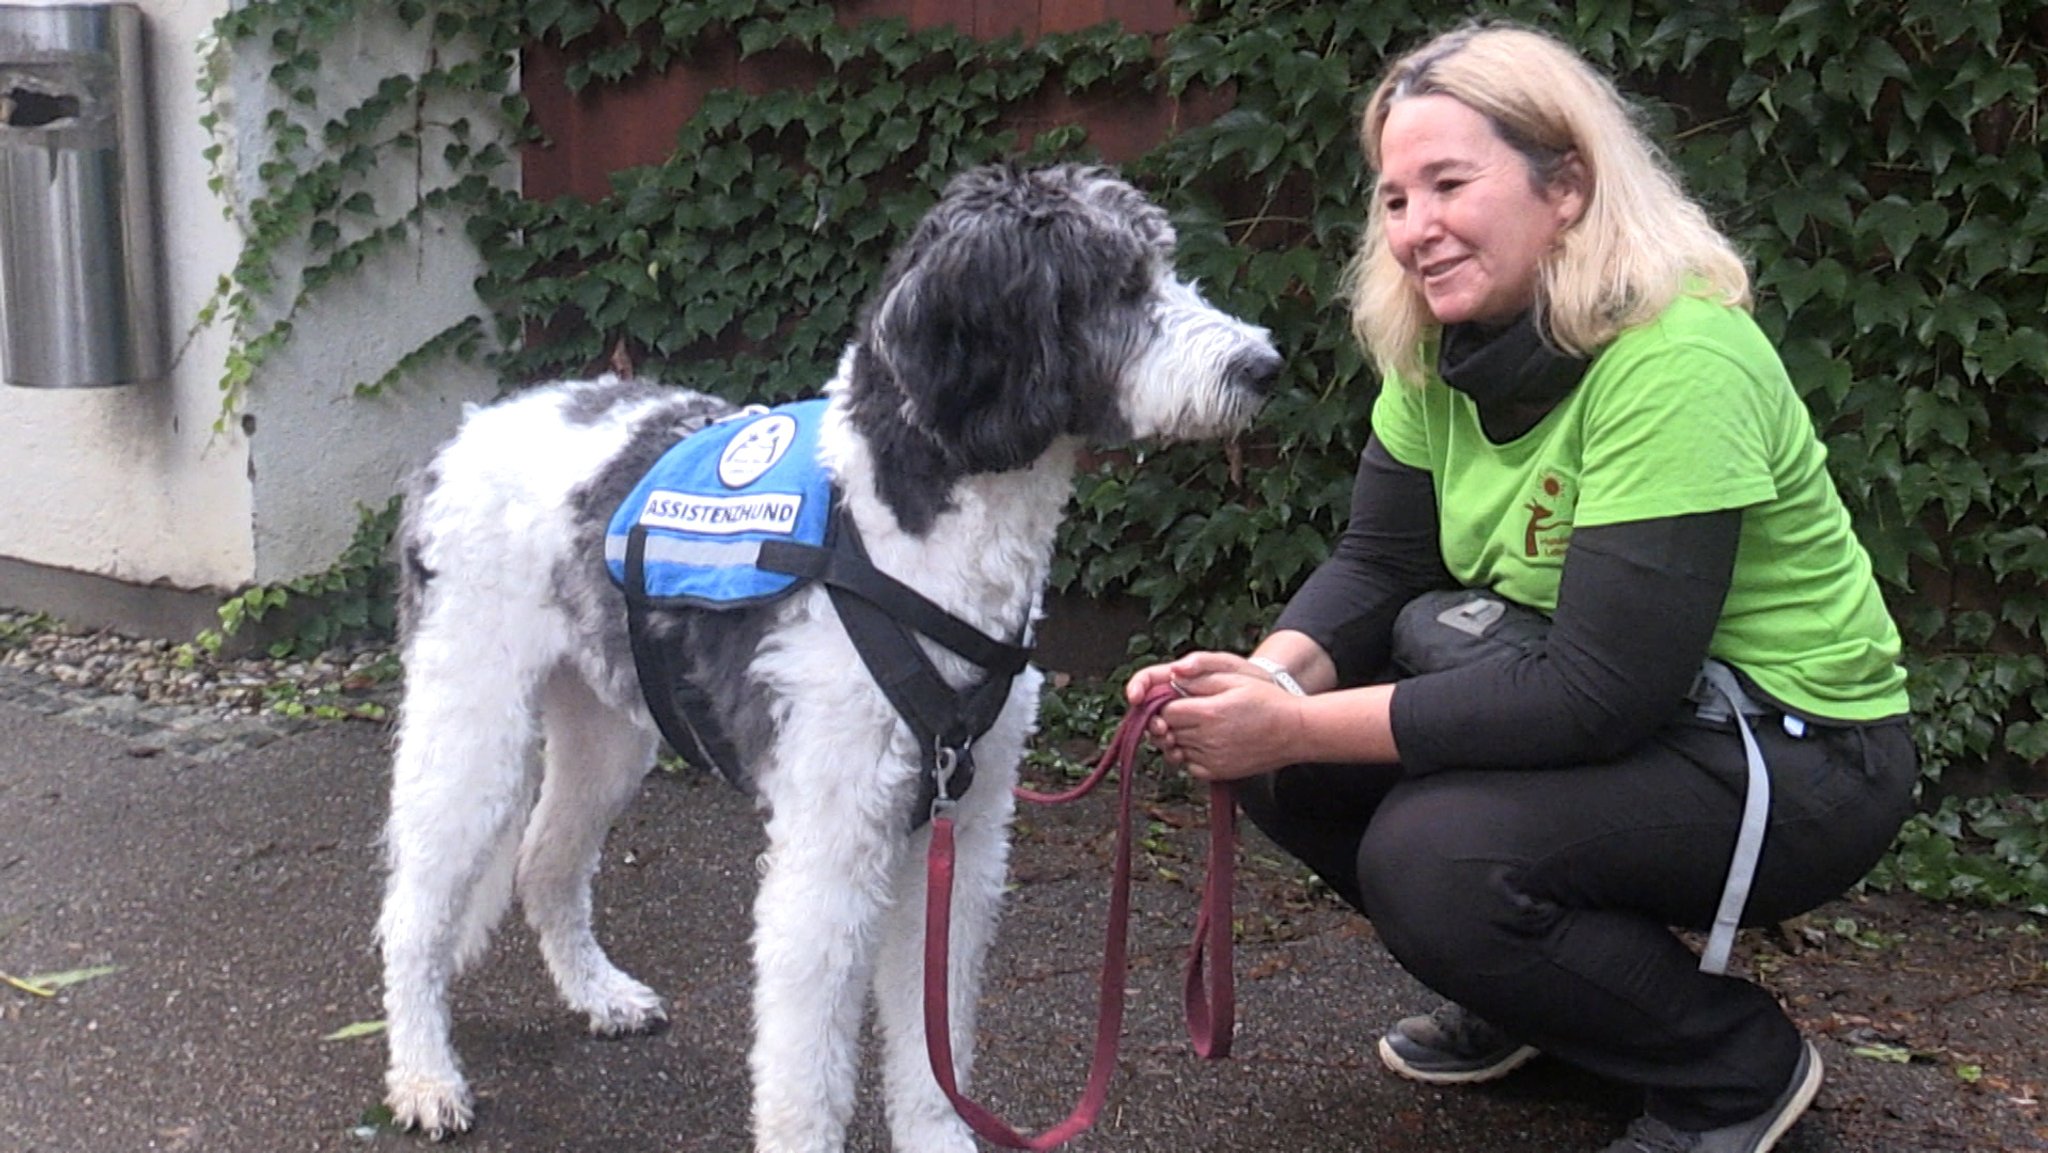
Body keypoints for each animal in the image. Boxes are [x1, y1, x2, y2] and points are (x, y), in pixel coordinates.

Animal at [380, 164, 1277, 1153]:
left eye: (1164, 265)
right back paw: (423, 1073)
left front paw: (941, 1139)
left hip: (607, 730)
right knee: (412, 910)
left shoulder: (963, 827)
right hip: (470, 724)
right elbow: (807, 1066)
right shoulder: (830, 848)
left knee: (545, 859)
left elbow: (934, 1039)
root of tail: (464, 430)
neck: (899, 532)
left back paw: (597, 993)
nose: (1264, 366)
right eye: (1117, 286)